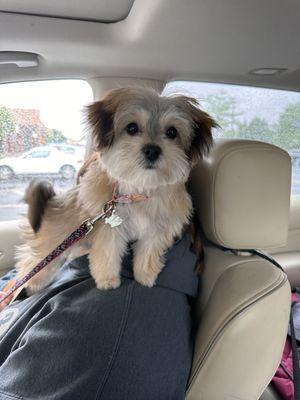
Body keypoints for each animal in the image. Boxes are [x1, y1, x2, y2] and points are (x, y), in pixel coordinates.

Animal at [15, 88, 216, 294]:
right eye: (132, 128)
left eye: (172, 132)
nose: (152, 150)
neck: (140, 188)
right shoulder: (108, 230)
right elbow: (107, 253)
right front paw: (108, 279)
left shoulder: (157, 230)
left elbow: (148, 253)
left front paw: (145, 275)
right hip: (53, 243)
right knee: (33, 261)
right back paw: (30, 284)